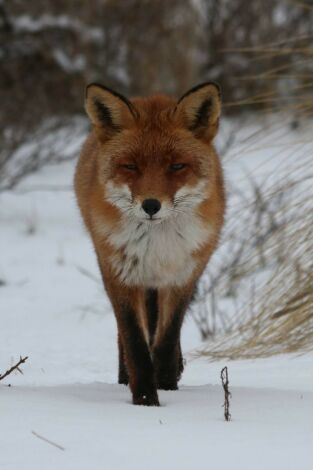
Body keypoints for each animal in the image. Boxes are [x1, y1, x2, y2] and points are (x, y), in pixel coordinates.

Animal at [73, 81, 224, 404]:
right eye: (130, 166)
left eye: (177, 166)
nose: (151, 205)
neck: (158, 246)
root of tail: (151, 97)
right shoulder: (120, 275)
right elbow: (135, 342)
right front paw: (145, 399)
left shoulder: (183, 275)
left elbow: (166, 339)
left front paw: (166, 385)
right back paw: (123, 378)